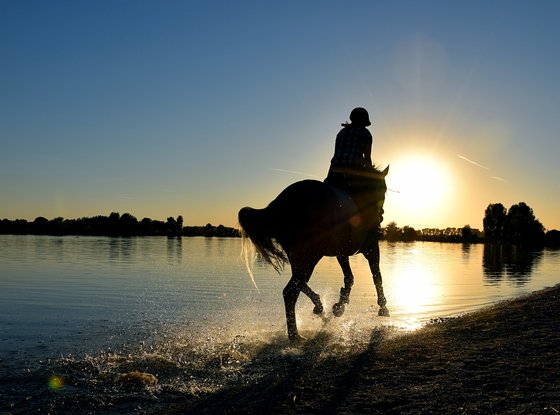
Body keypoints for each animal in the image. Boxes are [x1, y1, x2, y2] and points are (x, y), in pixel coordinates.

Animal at [237, 167, 390, 342]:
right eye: (384, 189)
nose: (380, 214)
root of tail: (279, 205)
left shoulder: (341, 253)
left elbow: (349, 278)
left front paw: (339, 306)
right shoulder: (371, 248)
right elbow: (376, 276)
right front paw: (383, 307)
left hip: (300, 256)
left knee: (298, 283)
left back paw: (317, 307)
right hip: (311, 255)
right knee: (290, 291)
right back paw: (295, 335)